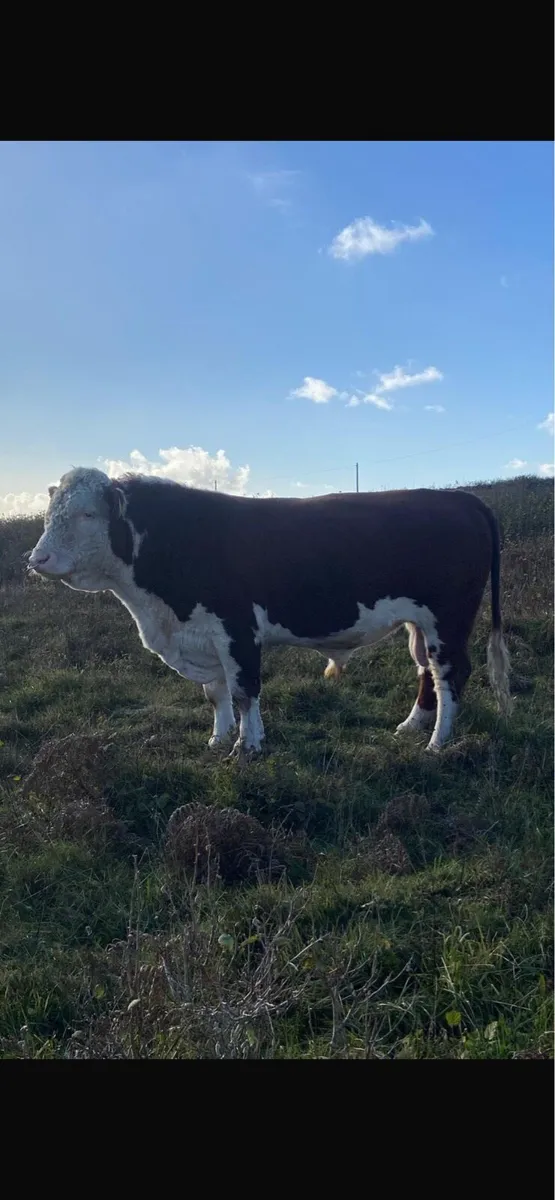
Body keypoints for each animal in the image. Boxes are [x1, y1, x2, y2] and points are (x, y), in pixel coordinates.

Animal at [27, 468, 511, 756]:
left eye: (88, 514)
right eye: (49, 513)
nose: (38, 559)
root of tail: (460, 499)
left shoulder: (237, 631)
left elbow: (244, 692)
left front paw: (246, 747)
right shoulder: (202, 637)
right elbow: (217, 694)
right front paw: (217, 738)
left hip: (449, 618)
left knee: (450, 673)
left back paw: (437, 743)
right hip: (420, 623)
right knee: (425, 671)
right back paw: (412, 726)